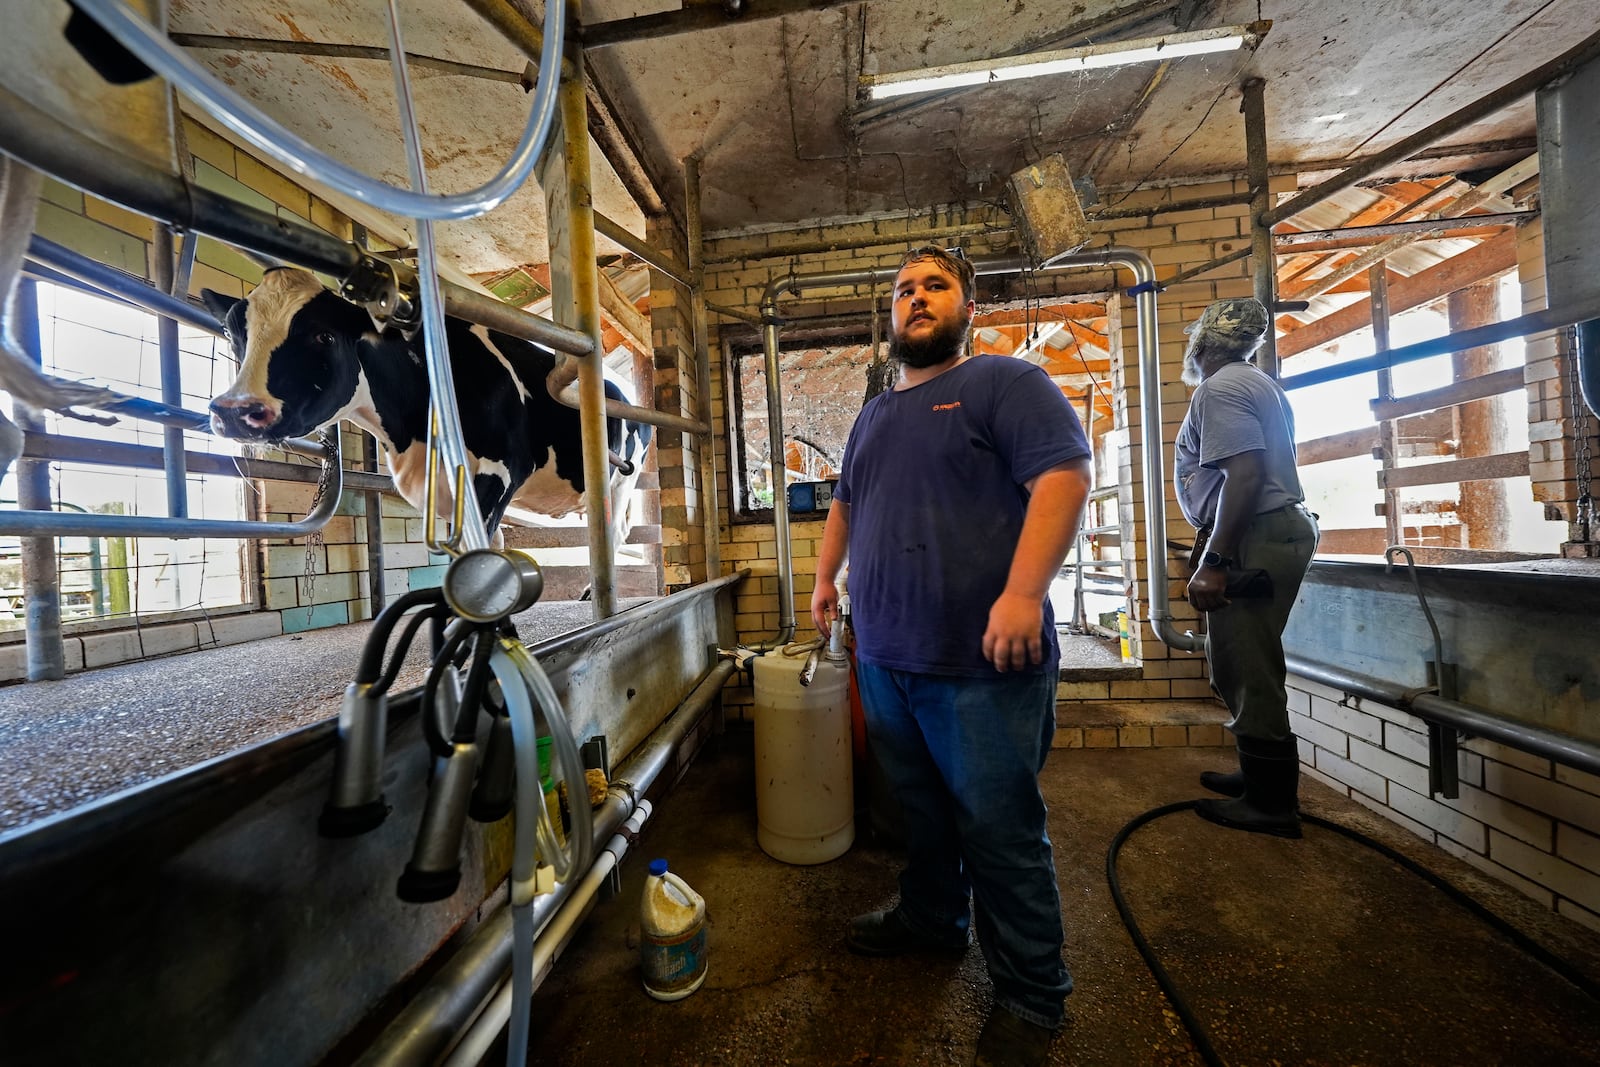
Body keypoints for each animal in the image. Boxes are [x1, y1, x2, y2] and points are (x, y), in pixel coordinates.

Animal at [203, 267, 652, 550]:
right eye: (232, 334)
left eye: (324, 335)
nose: (235, 411)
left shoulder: (501, 473)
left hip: (621, 480)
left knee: (613, 533)